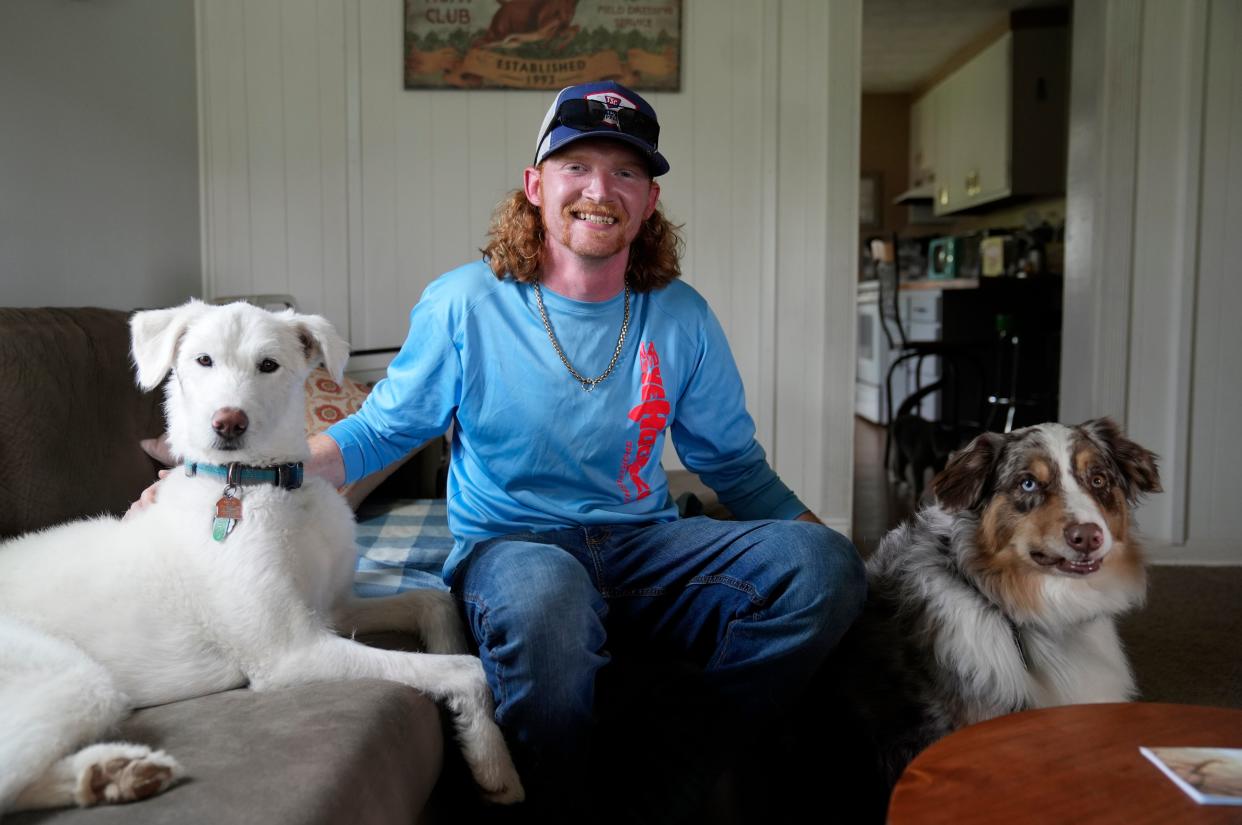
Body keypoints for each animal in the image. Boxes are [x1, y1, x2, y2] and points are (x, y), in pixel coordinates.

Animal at [0, 298, 524, 810]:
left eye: (268, 365)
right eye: (203, 360)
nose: (228, 423)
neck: (257, 486)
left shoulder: (333, 608)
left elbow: (434, 602)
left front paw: (466, 709)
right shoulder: (290, 651)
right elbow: (467, 671)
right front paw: (494, 760)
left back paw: (112, 774)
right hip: (74, 677)